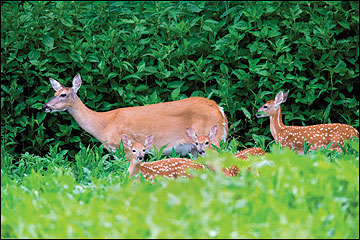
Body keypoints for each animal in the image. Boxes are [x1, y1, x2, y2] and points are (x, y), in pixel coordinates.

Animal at [42, 73, 228, 156]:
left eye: (63, 95)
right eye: (54, 92)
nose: (45, 106)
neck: (104, 124)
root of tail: (219, 110)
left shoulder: (124, 147)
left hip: (212, 141)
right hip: (198, 148)